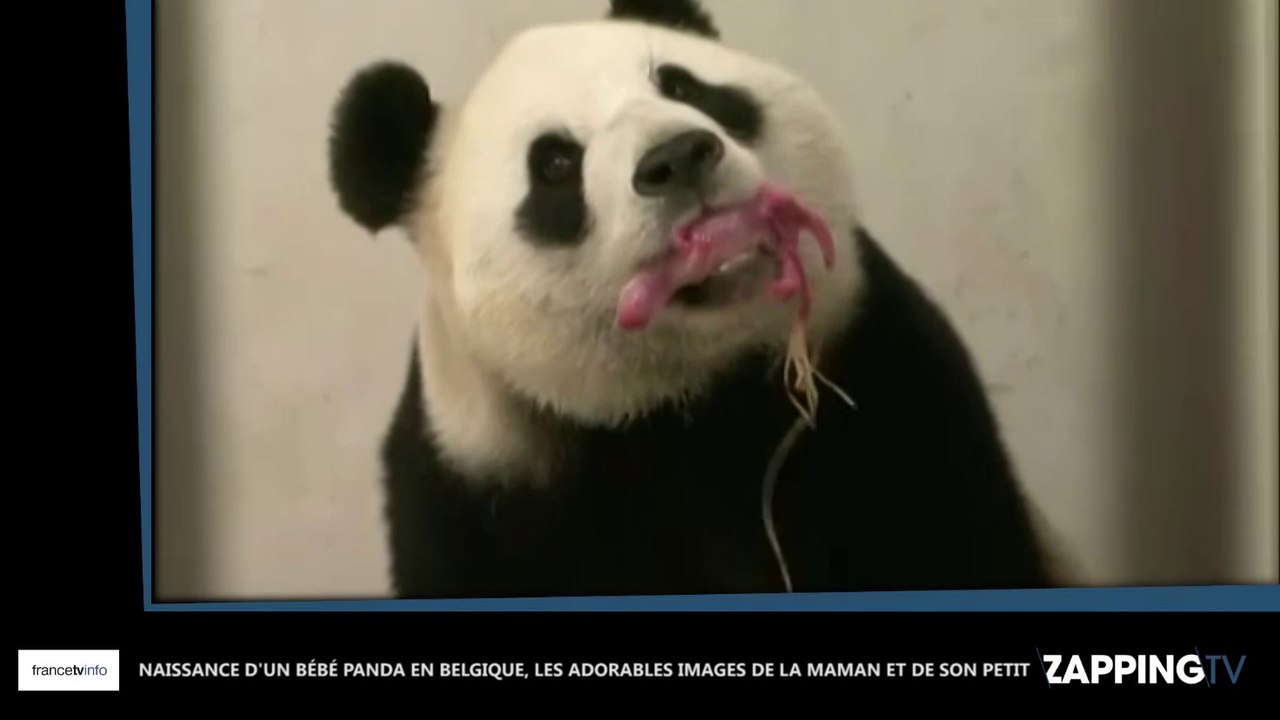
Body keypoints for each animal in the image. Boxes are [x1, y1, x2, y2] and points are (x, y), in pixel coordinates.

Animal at [327, 0, 1054, 599]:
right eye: (555, 163)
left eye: (680, 85)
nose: (677, 157)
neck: (684, 398)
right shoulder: (476, 488)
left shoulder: (887, 376)